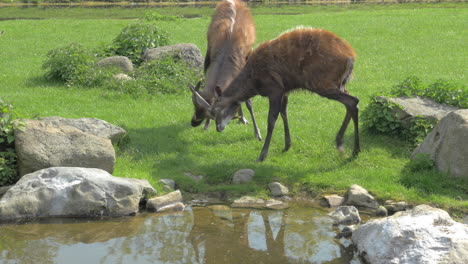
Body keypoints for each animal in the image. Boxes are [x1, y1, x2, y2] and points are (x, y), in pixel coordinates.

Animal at [190, 0, 264, 141]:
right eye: (194, 105)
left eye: (212, 112)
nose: (193, 122)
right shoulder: (209, 52)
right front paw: (206, 125)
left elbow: (248, 101)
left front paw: (257, 133)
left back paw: (243, 119)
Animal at [208, 27, 362, 162]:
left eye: (215, 110)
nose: (218, 128)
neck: (253, 83)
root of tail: (351, 58)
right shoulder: (285, 90)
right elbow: (284, 113)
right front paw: (287, 145)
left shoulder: (274, 89)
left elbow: (271, 121)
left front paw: (262, 155)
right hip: (339, 84)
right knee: (352, 103)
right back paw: (355, 150)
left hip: (322, 83)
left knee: (353, 100)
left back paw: (341, 143)